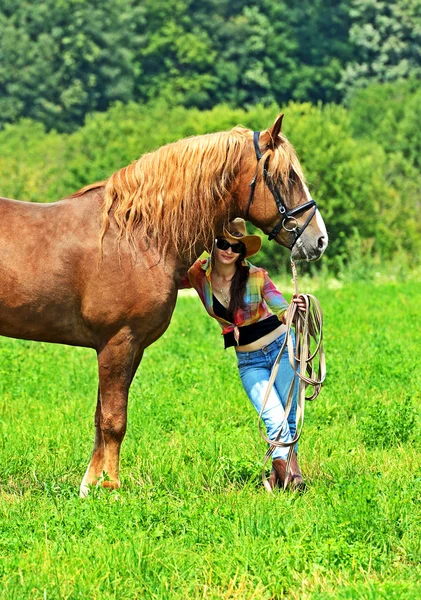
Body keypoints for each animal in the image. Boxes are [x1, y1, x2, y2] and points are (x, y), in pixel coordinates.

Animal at [0, 113, 326, 496]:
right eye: (288, 176)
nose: (319, 240)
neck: (137, 237)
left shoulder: (131, 347)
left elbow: (100, 416)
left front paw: (89, 486)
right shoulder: (117, 342)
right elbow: (113, 419)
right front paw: (111, 487)